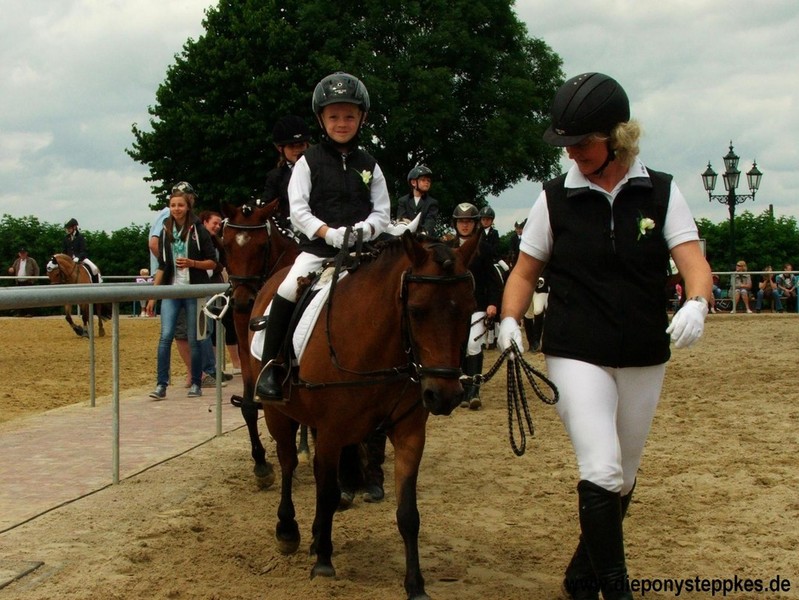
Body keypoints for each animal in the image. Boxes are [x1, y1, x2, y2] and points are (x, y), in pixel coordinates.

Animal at [219, 201, 308, 486]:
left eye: (261, 247)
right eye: (226, 245)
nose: (242, 301)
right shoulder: (247, 352)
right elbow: (248, 406)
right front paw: (260, 464)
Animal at [251, 230, 479, 600]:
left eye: (469, 311)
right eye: (416, 311)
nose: (444, 396)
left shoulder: (409, 434)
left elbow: (408, 513)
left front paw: (415, 584)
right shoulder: (331, 432)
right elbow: (328, 493)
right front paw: (324, 562)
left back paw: (315, 535)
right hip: (277, 413)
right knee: (288, 464)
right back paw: (288, 531)